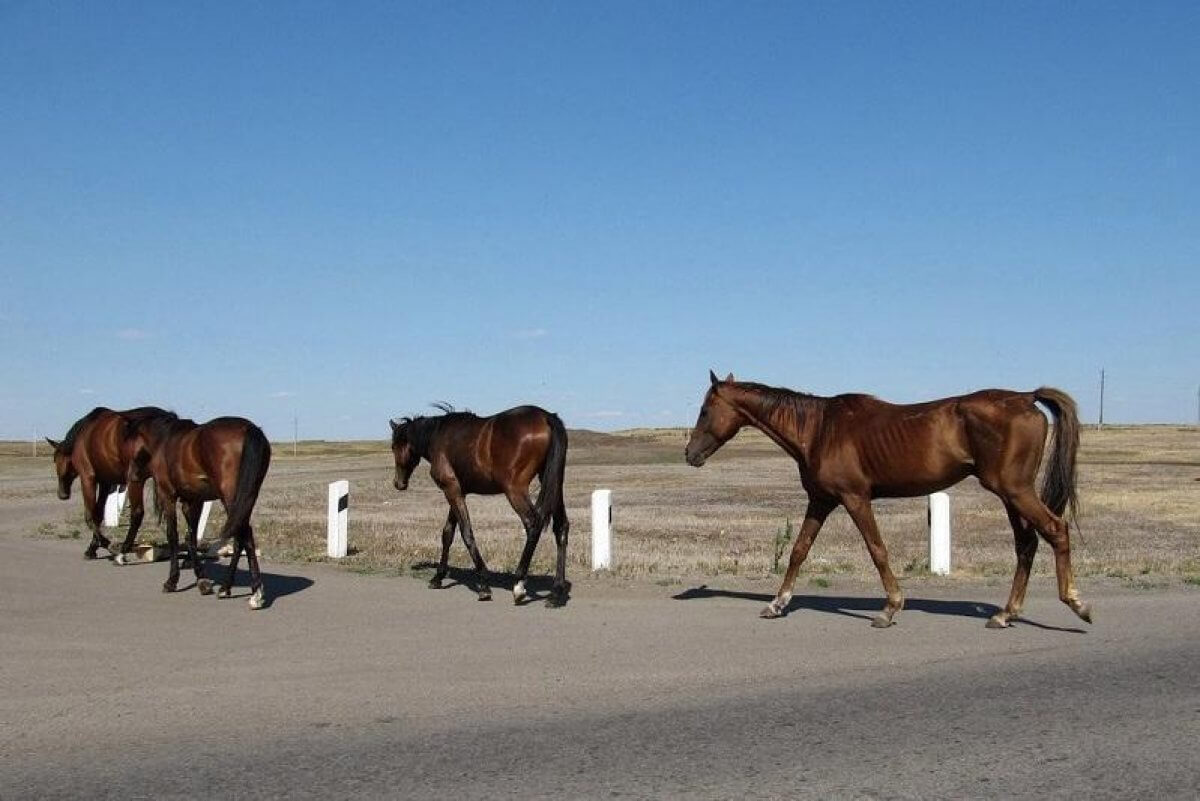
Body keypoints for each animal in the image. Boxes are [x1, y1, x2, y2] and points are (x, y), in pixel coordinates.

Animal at [48, 407, 175, 556]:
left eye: (55, 459)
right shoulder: (105, 483)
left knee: (137, 513)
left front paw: (106, 544)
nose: (62, 494)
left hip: (135, 481)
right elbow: (98, 514)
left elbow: (89, 515)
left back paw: (125, 547)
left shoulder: (87, 479)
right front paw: (93, 547)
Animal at [130, 412, 273, 606]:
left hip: (232, 499)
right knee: (241, 538)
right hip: (245, 499)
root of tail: (249, 429)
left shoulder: (168, 497)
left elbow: (173, 536)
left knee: (244, 536)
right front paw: (201, 579)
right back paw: (229, 588)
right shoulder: (192, 502)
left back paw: (254, 593)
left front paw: (172, 581)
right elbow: (191, 537)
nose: (132, 475)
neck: (164, 440)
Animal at [388, 402, 566, 604]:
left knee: (533, 524)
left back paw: (519, 584)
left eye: (393, 446)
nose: (398, 483)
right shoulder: (458, 492)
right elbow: (448, 533)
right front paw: (438, 576)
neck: (437, 436)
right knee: (561, 527)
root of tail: (546, 417)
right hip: (553, 485)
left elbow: (466, 533)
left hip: (515, 490)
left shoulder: (452, 490)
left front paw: (483, 583)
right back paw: (557, 590)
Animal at [686, 371, 1089, 628]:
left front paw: (890, 608)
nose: (690, 454)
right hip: (1010, 495)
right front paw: (776, 603)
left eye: (705, 410)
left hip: (1016, 491)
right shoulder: (821, 501)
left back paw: (1076, 602)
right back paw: (1006, 614)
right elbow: (799, 549)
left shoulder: (855, 498)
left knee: (1056, 530)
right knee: (1027, 544)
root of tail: (1026, 397)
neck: (819, 429)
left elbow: (877, 549)